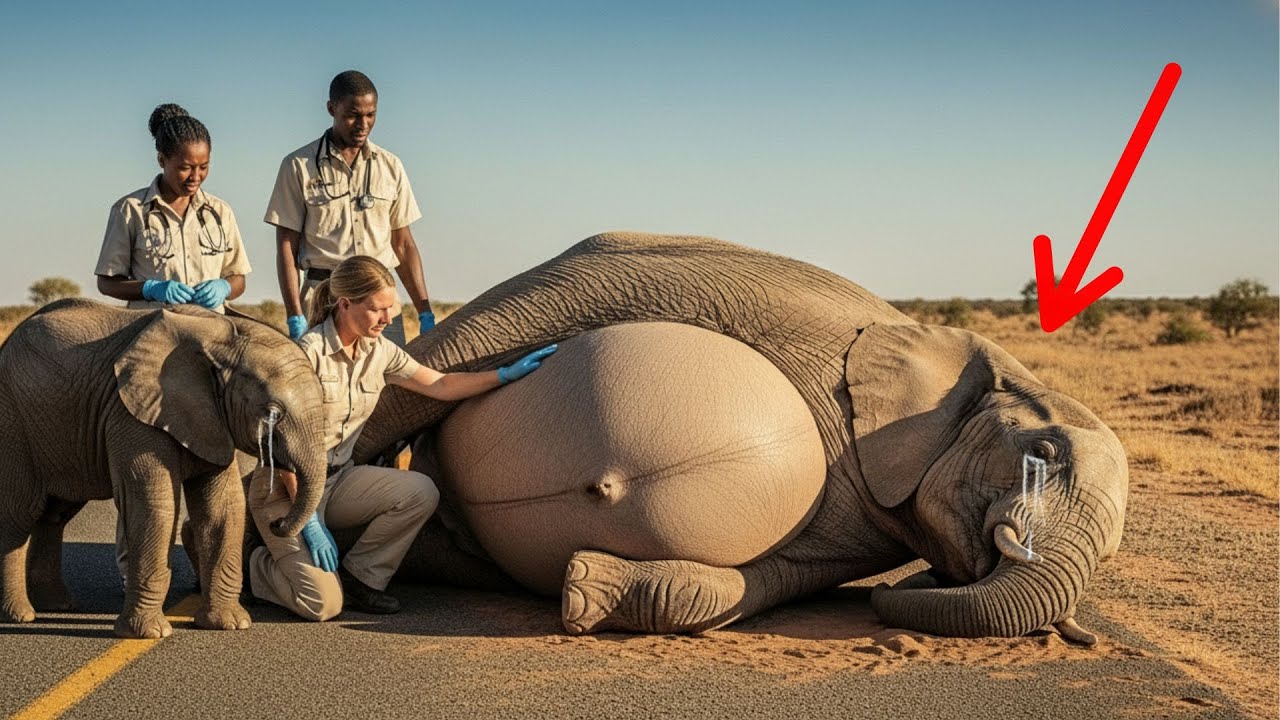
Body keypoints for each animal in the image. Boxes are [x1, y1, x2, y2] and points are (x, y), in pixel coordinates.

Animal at [0, 299, 328, 639]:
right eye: (272, 413)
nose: (277, 524)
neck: (223, 339)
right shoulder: (131, 414)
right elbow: (154, 505)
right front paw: (149, 634)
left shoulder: (212, 419)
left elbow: (223, 507)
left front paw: (230, 624)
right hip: (12, 420)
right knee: (19, 512)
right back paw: (20, 616)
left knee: (55, 514)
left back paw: (57, 605)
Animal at [353, 232, 1129, 645]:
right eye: (1044, 454)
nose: (893, 600)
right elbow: (530, 313)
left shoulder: (862, 530)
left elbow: (749, 586)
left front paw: (585, 592)